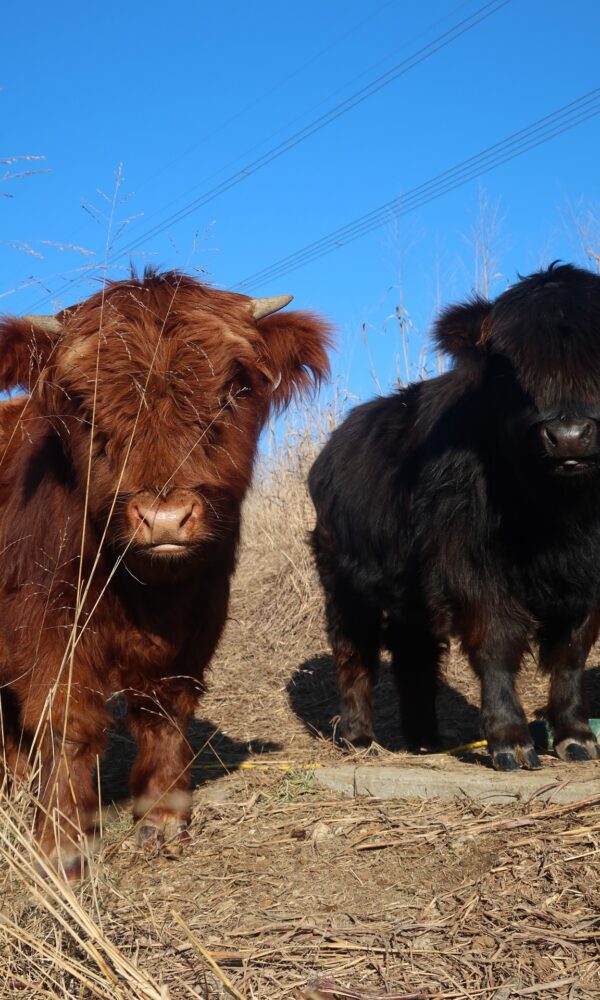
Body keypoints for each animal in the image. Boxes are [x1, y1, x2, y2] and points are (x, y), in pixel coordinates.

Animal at [0, 269, 331, 877]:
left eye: (226, 397)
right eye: (86, 409)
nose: (165, 518)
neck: (143, 590)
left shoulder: (198, 618)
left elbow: (165, 712)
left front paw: (162, 816)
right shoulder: (45, 627)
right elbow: (66, 725)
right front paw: (61, 843)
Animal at [309, 263, 600, 772]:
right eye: (508, 366)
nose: (569, 435)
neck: (560, 515)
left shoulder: (589, 578)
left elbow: (571, 653)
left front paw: (575, 734)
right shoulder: (469, 565)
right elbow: (498, 640)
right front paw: (510, 739)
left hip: (409, 590)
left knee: (414, 653)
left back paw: (425, 739)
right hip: (341, 580)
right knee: (355, 653)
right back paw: (358, 736)